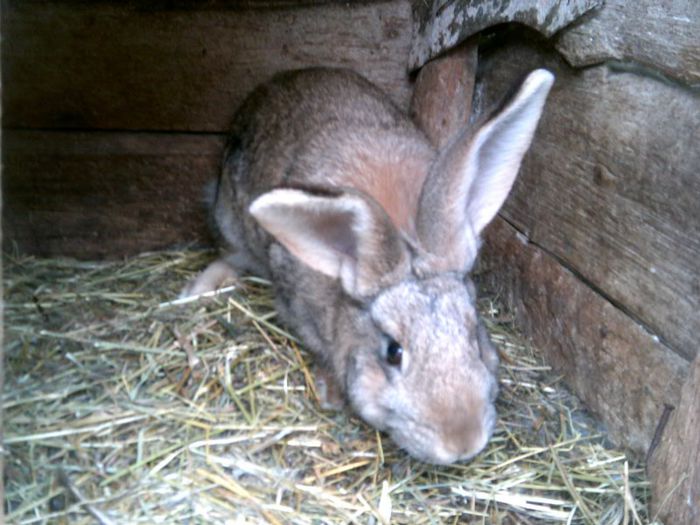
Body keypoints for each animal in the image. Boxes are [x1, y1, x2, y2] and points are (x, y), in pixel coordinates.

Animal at [183, 67, 556, 464]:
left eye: (474, 334)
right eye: (393, 352)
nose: (463, 443)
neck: (406, 239)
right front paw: (331, 394)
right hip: (229, 221)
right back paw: (197, 290)